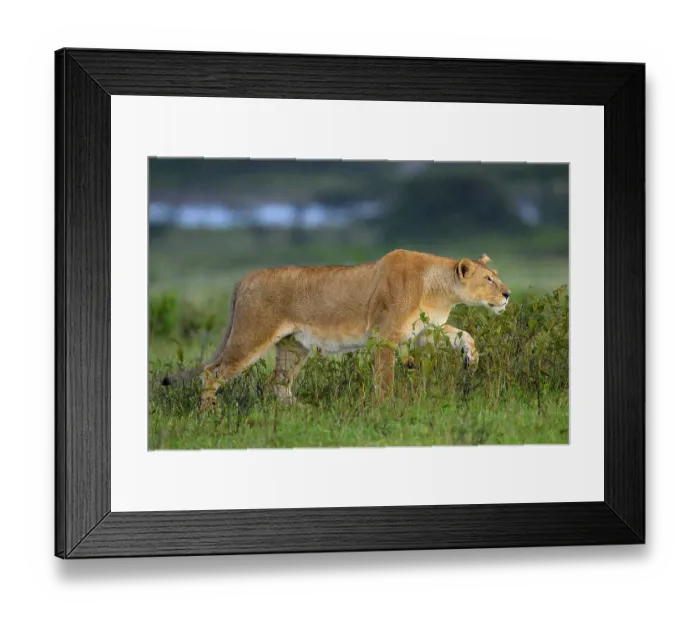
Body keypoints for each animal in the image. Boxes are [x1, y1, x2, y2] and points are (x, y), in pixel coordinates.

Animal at [162, 249, 510, 409]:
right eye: (488, 279)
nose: (507, 294)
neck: (439, 289)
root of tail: (244, 279)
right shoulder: (384, 337)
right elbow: (385, 377)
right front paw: (387, 407)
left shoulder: (425, 333)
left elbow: (465, 335)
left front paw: (471, 360)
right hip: (251, 336)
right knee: (212, 372)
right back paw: (211, 413)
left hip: (294, 346)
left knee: (277, 383)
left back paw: (304, 412)